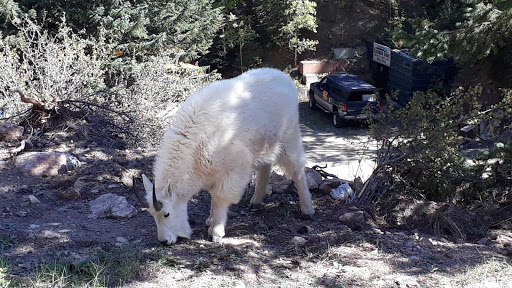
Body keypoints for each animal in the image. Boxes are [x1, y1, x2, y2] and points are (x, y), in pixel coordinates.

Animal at [134, 68, 314, 245]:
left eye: (166, 214)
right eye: (152, 215)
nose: (164, 241)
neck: (194, 148)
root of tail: (285, 78)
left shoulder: (234, 168)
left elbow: (220, 197)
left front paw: (215, 231)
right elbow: (213, 197)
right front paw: (210, 220)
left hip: (289, 137)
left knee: (297, 169)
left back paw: (307, 209)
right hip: (263, 144)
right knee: (265, 166)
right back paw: (256, 201)